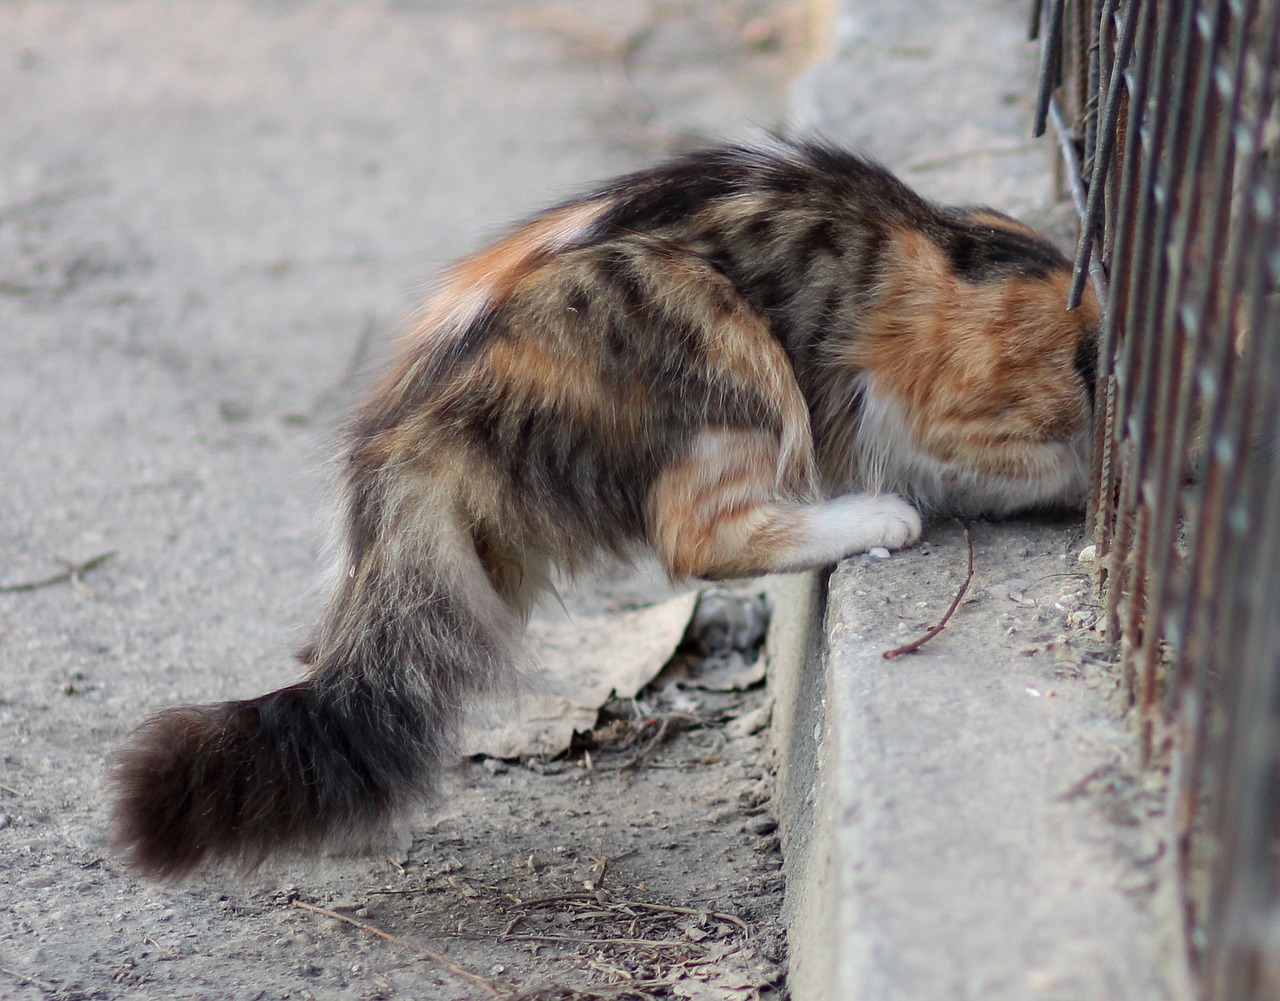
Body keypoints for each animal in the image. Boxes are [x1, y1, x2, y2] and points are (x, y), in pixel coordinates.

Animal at [107, 135, 1100, 880]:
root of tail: (411, 421)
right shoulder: (937, 404)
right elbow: (1037, 462)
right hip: (720, 337)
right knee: (704, 536)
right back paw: (873, 517)